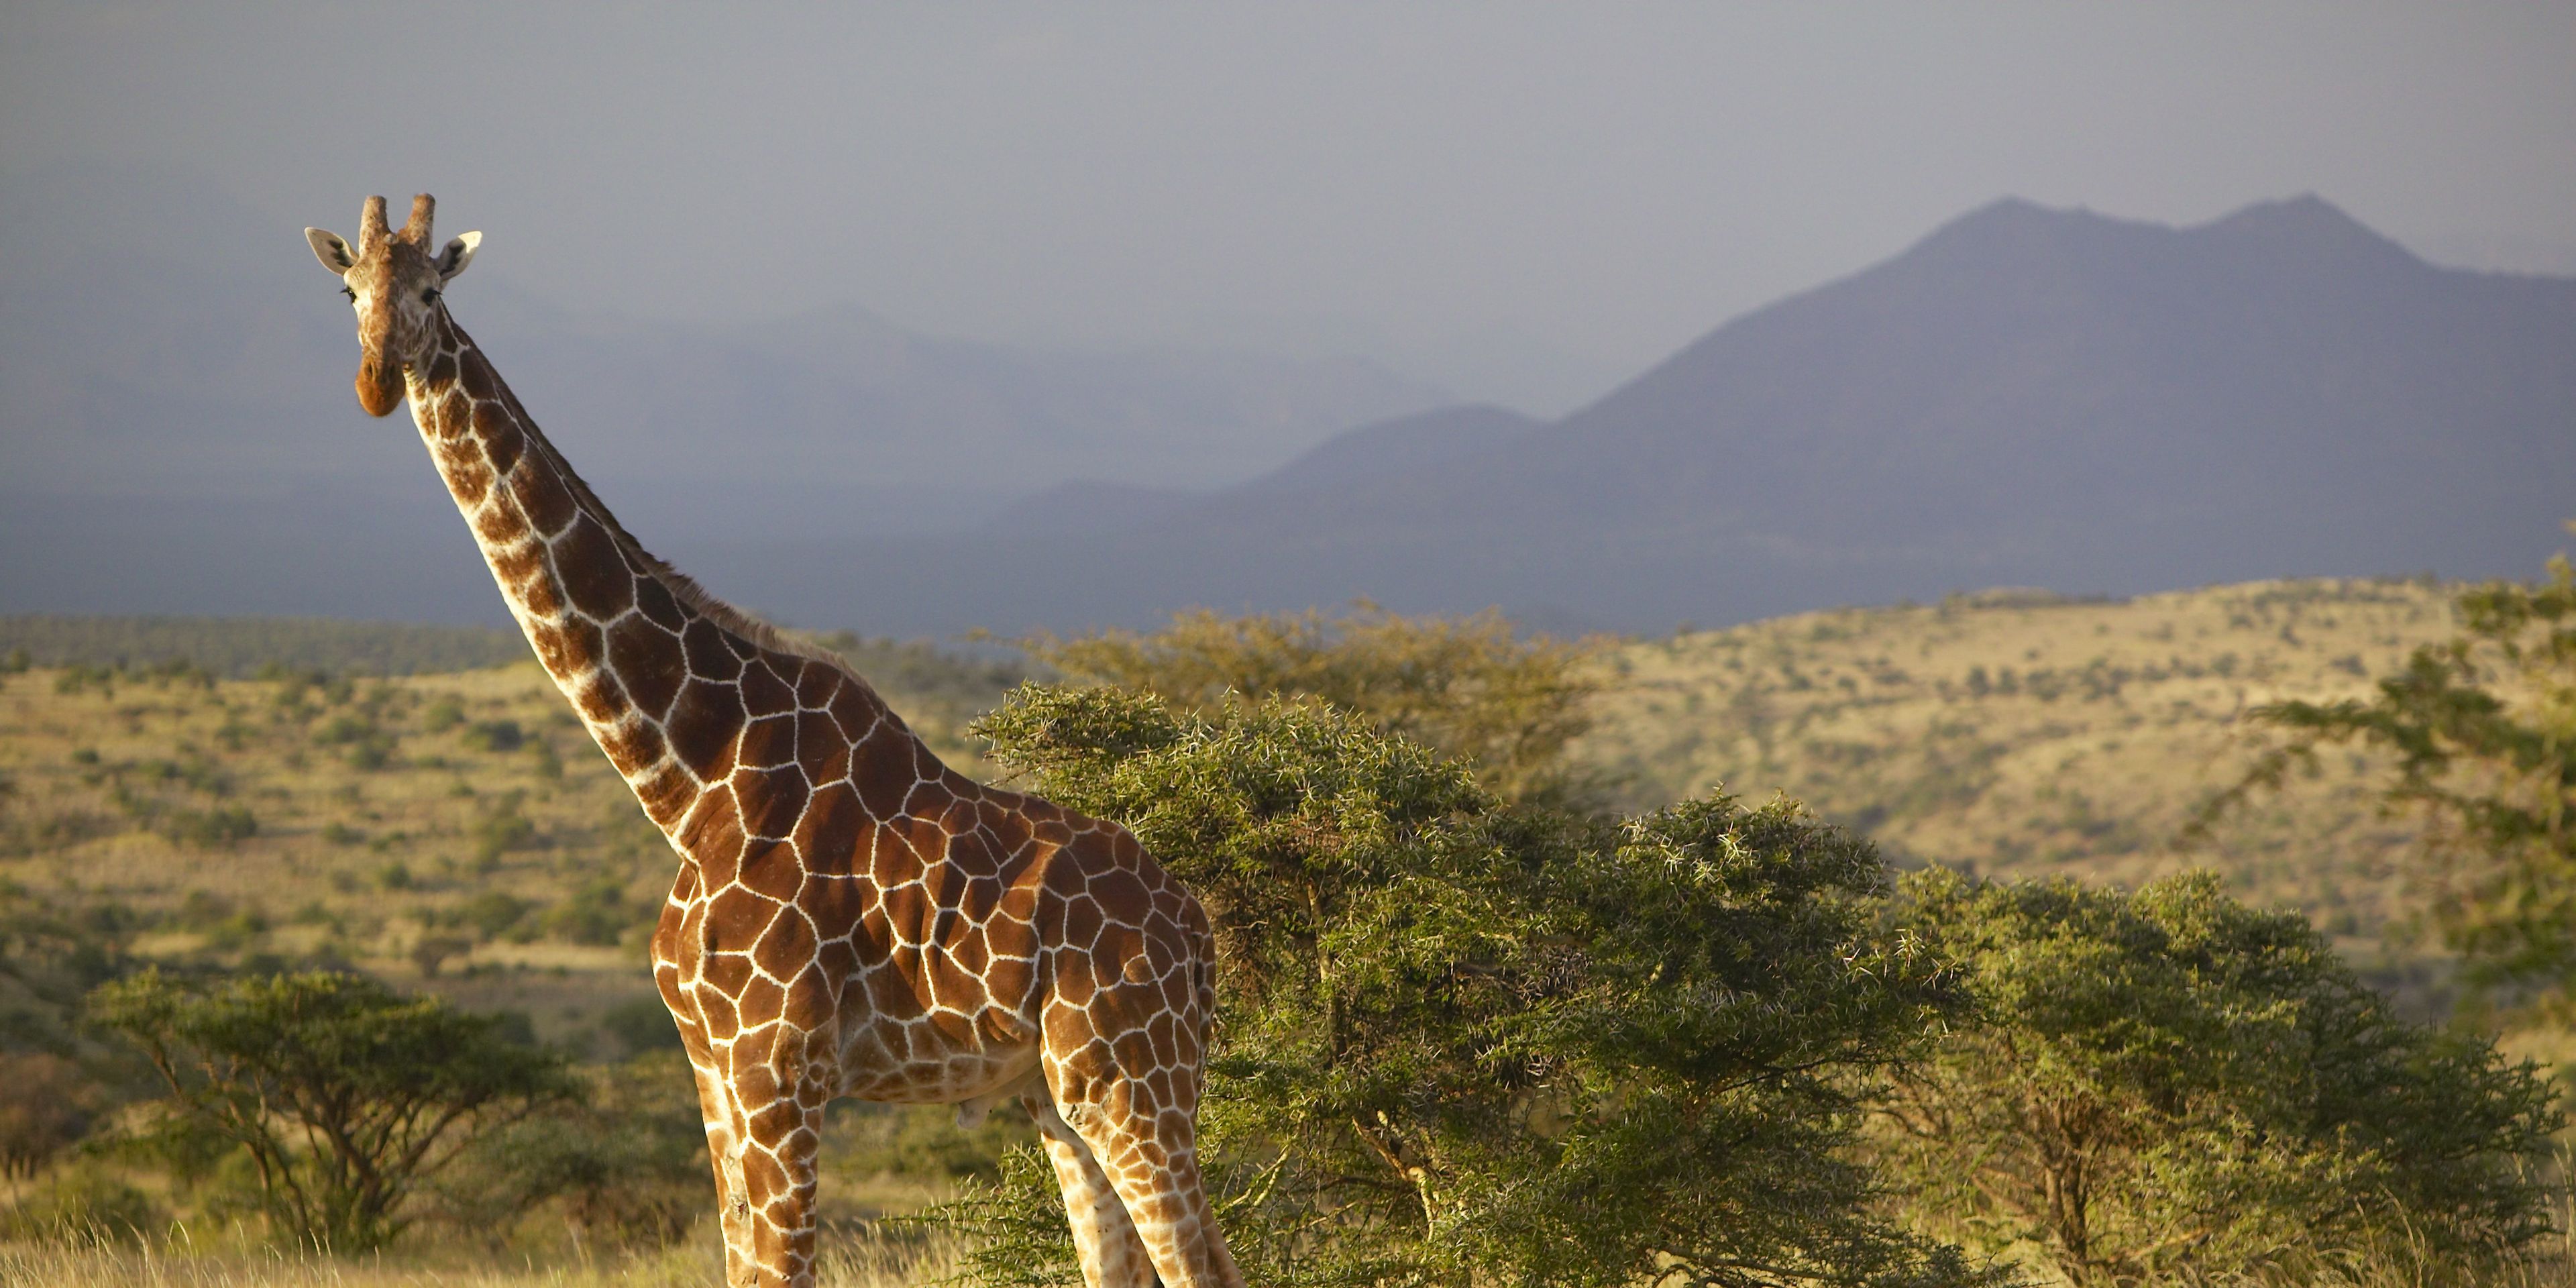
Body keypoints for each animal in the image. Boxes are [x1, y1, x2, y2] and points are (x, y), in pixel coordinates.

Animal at [306, 195, 1244, 1288]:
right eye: (350, 292)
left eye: (428, 290)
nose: (376, 381)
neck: (690, 777)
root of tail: (1198, 933)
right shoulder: (712, 1068)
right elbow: (739, 1263)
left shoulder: (779, 1063)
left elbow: (782, 1268)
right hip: (1056, 1093)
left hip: (1130, 1078)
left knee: (1201, 1263)